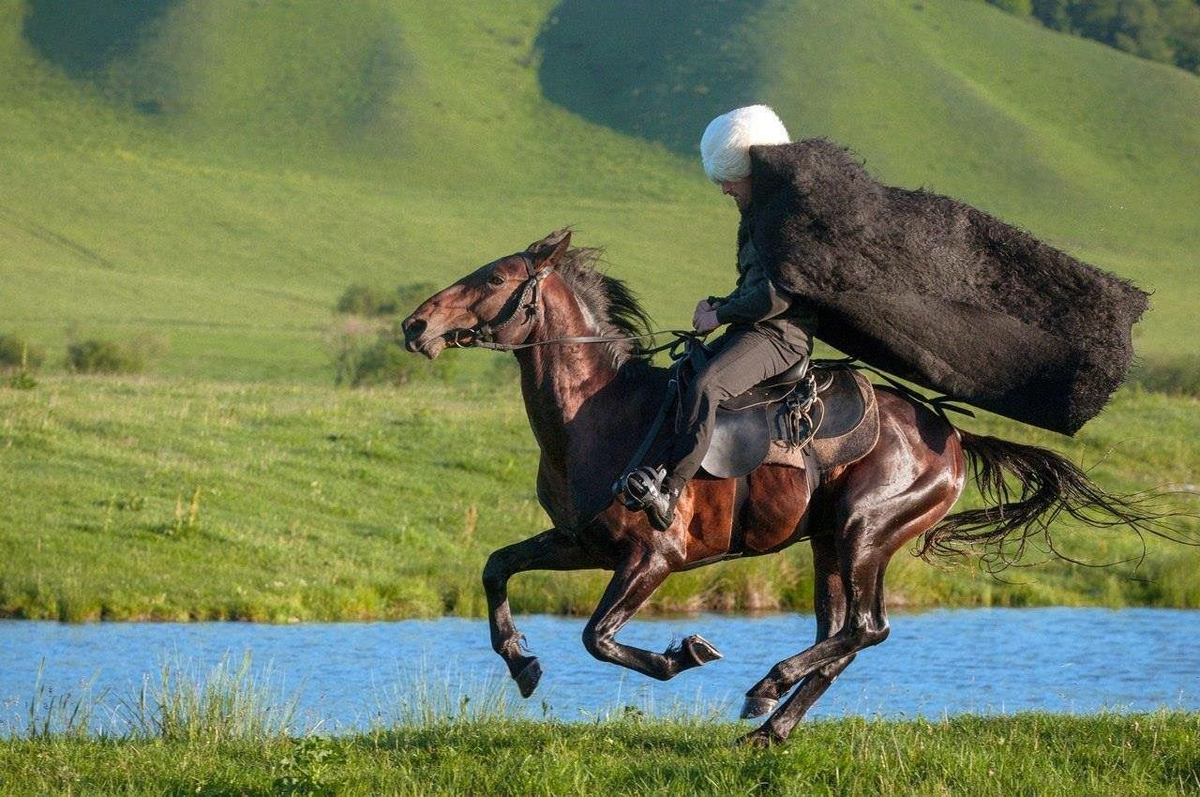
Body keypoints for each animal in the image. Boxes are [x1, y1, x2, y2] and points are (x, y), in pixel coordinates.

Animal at [400, 226, 1171, 744]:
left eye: (495, 279)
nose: (415, 324)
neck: (597, 411)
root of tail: (949, 434)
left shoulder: (652, 557)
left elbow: (597, 637)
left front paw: (683, 654)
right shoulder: (579, 542)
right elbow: (496, 567)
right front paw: (522, 664)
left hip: (867, 529)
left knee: (865, 628)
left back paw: (764, 689)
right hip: (832, 541)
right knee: (844, 635)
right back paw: (769, 727)